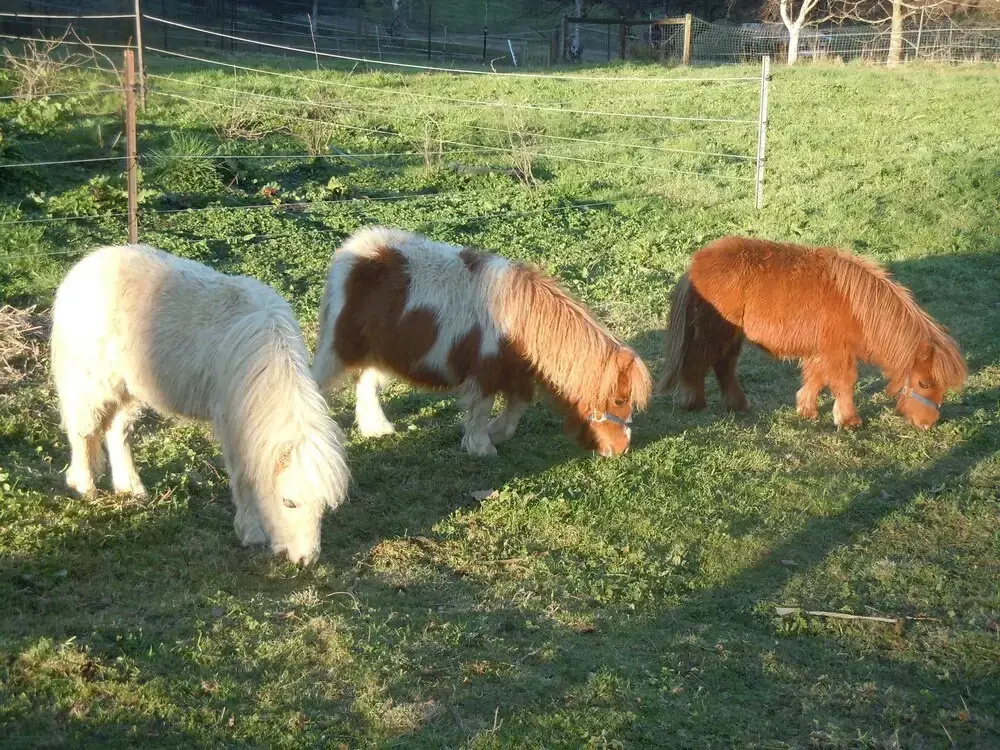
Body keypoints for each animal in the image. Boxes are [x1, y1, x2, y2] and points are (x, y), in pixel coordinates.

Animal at [51, 244, 350, 565]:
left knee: (117, 431)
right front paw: (251, 533)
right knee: (83, 431)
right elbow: (243, 477)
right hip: (90, 381)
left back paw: (130, 488)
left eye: (323, 507)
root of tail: (85, 266)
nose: (306, 560)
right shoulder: (233, 424)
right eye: (289, 502)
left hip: (128, 387)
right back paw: (84, 486)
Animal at [311, 227, 652, 457]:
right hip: (337, 350)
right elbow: (482, 408)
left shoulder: (515, 372)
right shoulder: (486, 371)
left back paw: (377, 429)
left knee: (366, 384)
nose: (622, 448)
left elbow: (517, 404)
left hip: (379, 353)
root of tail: (352, 249)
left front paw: (496, 434)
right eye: (619, 400)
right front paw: (481, 446)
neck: (522, 319)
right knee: (319, 385)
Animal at [655, 236, 967, 430]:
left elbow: (816, 378)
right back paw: (693, 403)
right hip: (714, 331)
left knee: (724, 366)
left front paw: (807, 410)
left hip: (732, 336)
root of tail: (696, 264)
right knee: (697, 362)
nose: (927, 424)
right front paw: (849, 420)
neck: (857, 305)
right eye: (924, 384)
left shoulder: (822, 350)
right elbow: (843, 382)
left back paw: (738, 405)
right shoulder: (838, 351)